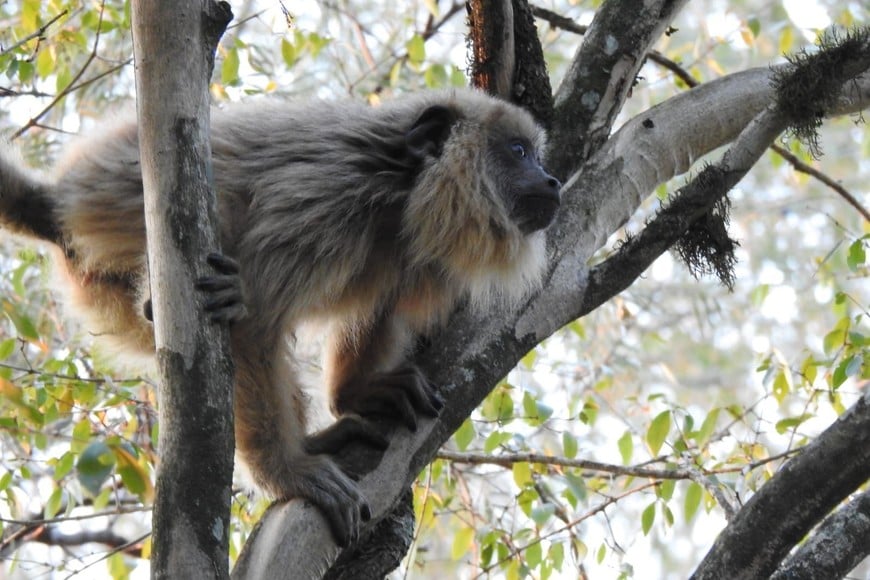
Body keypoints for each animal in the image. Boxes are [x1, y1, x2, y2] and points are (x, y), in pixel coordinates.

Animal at [0, 88, 564, 548]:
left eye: (536, 155)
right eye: (518, 152)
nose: (553, 178)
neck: (401, 184)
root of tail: (61, 201)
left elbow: (381, 306)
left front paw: (358, 392)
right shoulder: (324, 197)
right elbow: (253, 328)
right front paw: (287, 473)